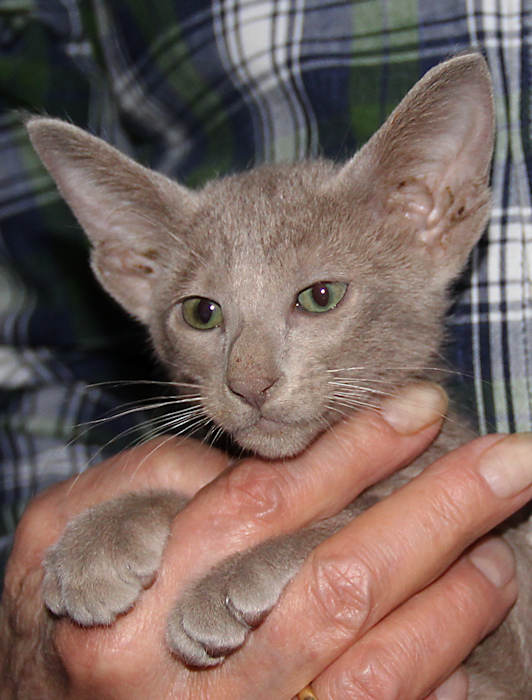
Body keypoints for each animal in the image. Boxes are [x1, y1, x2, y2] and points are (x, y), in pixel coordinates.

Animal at [27, 53, 531, 698]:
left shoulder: (513, 614)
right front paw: (103, 533)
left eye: (321, 296)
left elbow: (354, 512)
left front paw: (226, 578)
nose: (250, 384)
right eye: (201, 312)